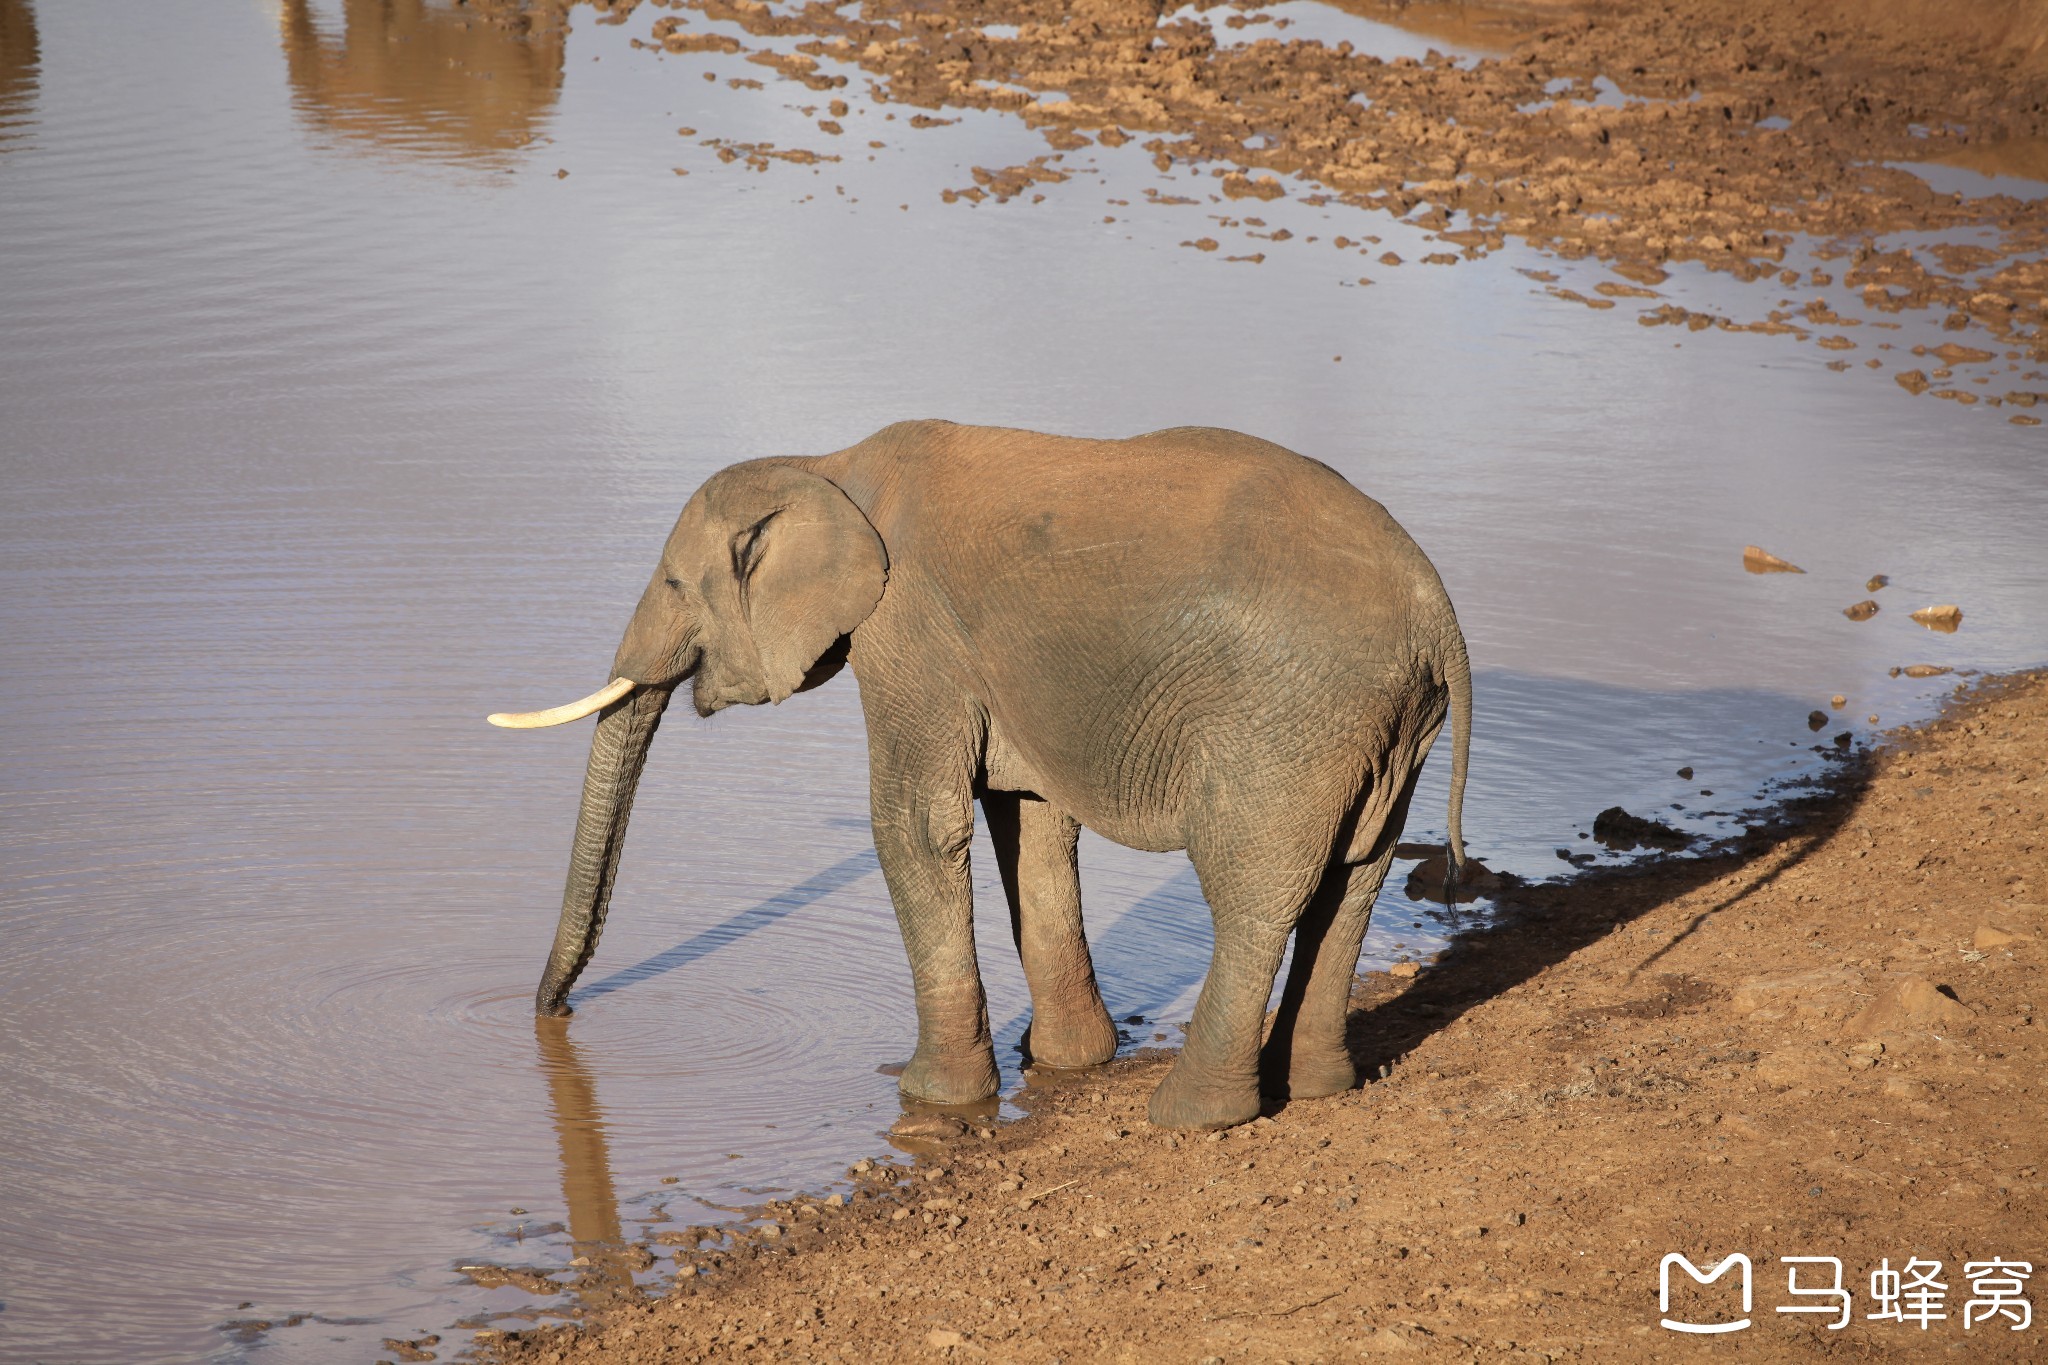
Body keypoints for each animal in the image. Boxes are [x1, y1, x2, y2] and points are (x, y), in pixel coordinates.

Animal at [487, 423, 1466, 1129]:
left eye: (674, 584)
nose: (551, 1016)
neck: (826, 467)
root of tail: (1436, 611)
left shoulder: (907, 633)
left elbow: (914, 824)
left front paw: (926, 1095)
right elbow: (1029, 823)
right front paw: (1065, 1063)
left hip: (1292, 715)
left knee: (1254, 891)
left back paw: (1190, 1116)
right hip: (1381, 726)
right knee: (1354, 879)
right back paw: (1318, 1090)